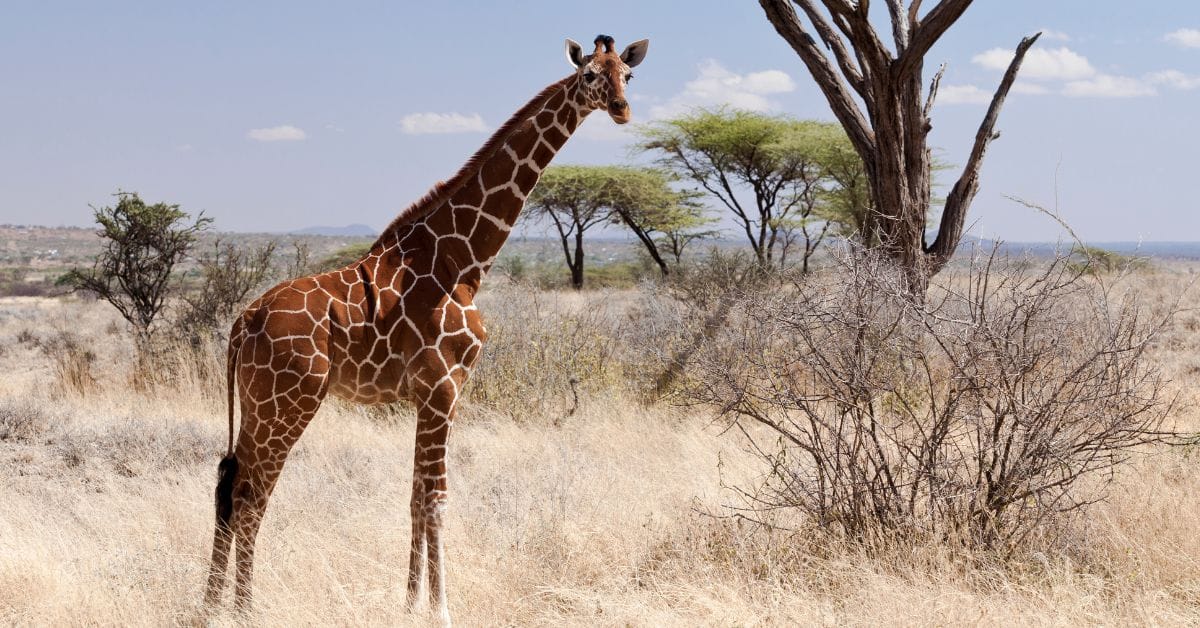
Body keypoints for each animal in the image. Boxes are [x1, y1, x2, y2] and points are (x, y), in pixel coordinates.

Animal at [202, 35, 649, 623]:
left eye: (627, 74)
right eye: (589, 75)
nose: (621, 109)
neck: (464, 260)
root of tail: (243, 320)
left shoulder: (424, 393)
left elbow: (415, 496)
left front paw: (409, 604)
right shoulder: (444, 386)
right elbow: (436, 499)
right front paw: (441, 610)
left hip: (259, 403)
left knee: (229, 483)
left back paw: (212, 606)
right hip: (290, 401)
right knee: (252, 493)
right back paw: (245, 609)